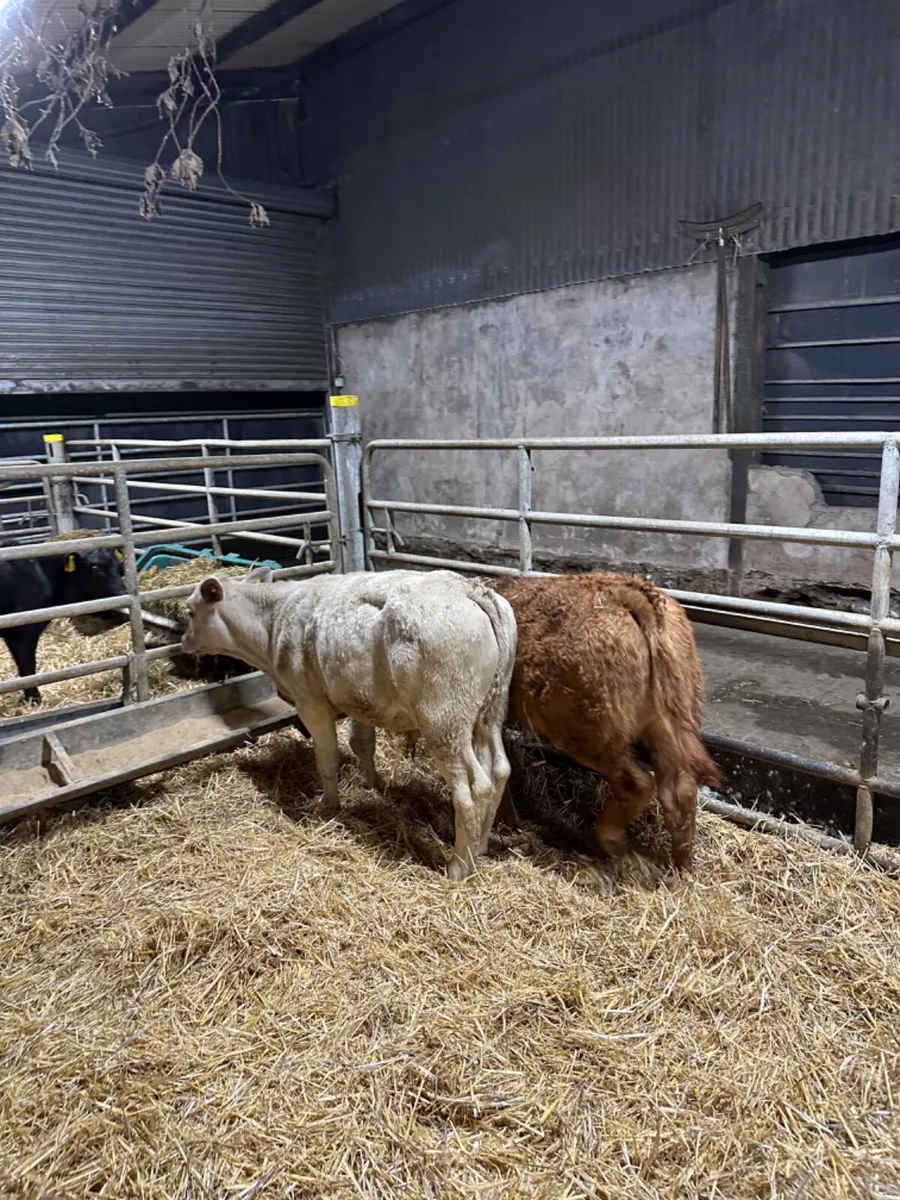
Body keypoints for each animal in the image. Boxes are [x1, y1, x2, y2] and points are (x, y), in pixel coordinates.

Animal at [0, 544, 127, 704]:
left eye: (119, 564)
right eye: (95, 567)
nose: (122, 592)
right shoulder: (23, 631)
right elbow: (27, 665)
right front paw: (34, 698)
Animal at [181, 567, 517, 881]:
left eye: (190, 612)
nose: (184, 642)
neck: (273, 621)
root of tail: (469, 588)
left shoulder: (311, 703)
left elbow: (327, 758)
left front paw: (329, 805)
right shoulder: (360, 701)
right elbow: (362, 745)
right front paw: (373, 785)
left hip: (444, 721)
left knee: (473, 789)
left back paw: (459, 866)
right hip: (491, 708)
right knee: (499, 769)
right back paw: (480, 846)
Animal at [487, 572, 721, 871]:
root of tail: (629, 591)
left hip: (587, 728)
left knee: (637, 783)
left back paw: (612, 844)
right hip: (671, 720)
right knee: (679, 791)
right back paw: (682, 865)